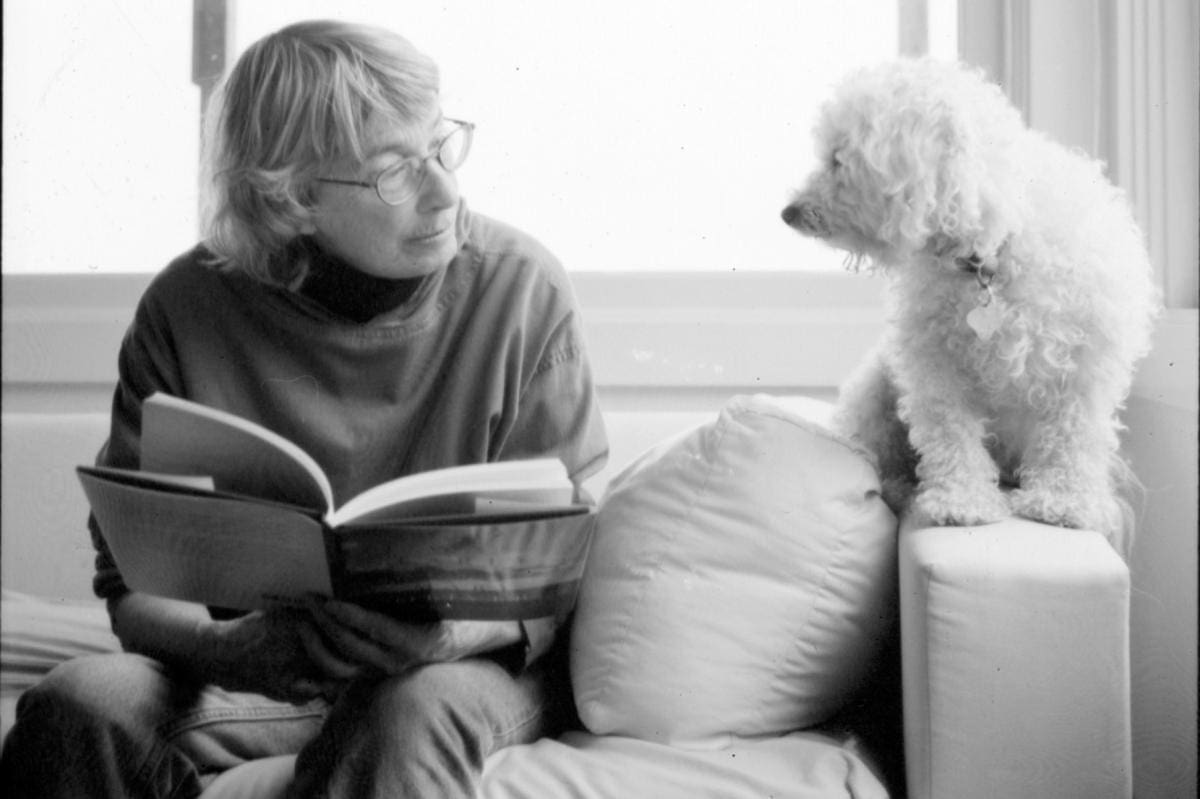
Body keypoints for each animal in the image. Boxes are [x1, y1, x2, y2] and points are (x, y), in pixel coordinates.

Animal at [782, 57, 1156, 554]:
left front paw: (1063, 502)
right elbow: (951, 433)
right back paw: (900, 486)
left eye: (837, 158)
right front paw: (962, 501)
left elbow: (1073, 435)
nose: (788, 212)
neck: (991, 255)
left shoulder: (1086, 365)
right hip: (874, 393)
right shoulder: (936, 364)